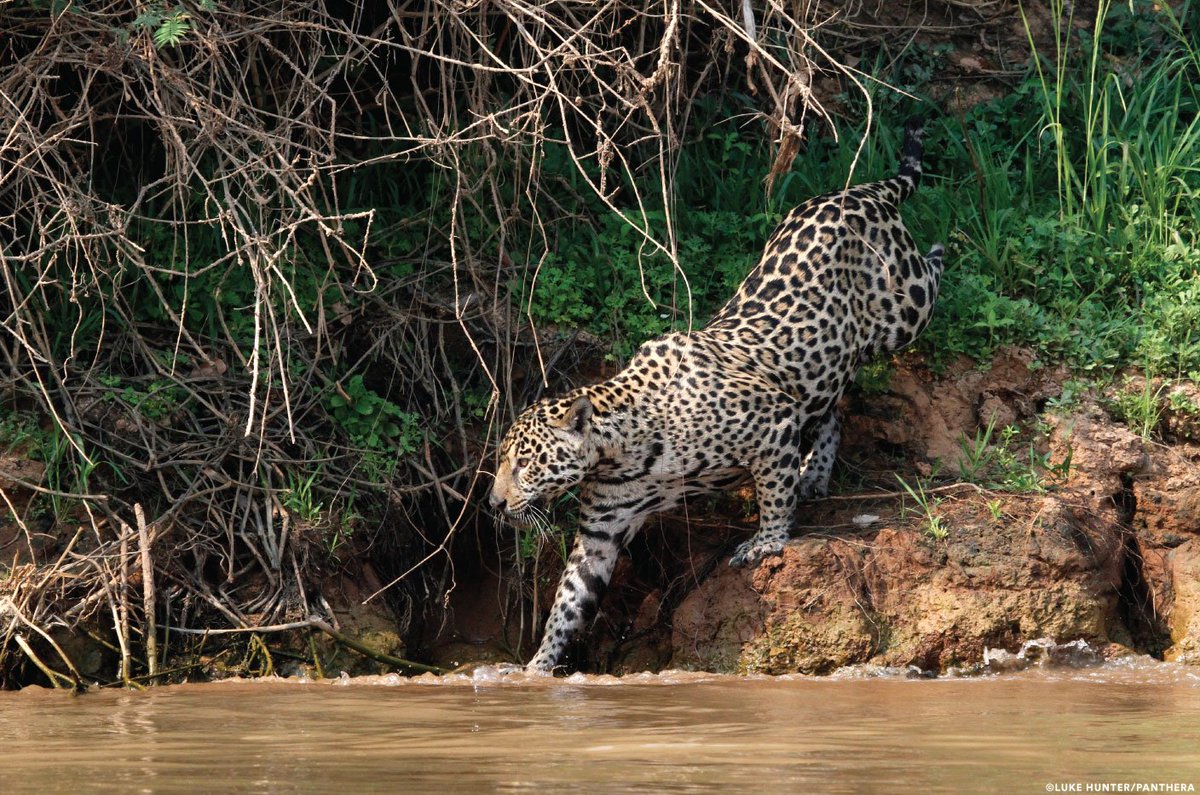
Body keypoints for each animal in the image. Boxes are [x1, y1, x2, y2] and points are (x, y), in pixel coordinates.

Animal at [490, 119, 945, 673]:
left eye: (523, 464)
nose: (493, 504)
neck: (621, 453)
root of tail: (851, 194)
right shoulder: (600, 533)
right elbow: (568, 603)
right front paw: (536, 668)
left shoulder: (771, 424)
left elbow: (772, 494)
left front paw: (767, 542)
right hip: (829, 362)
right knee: (832, 410)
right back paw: (814, 474)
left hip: (904, 313)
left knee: (930, 272)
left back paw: (944, 245)